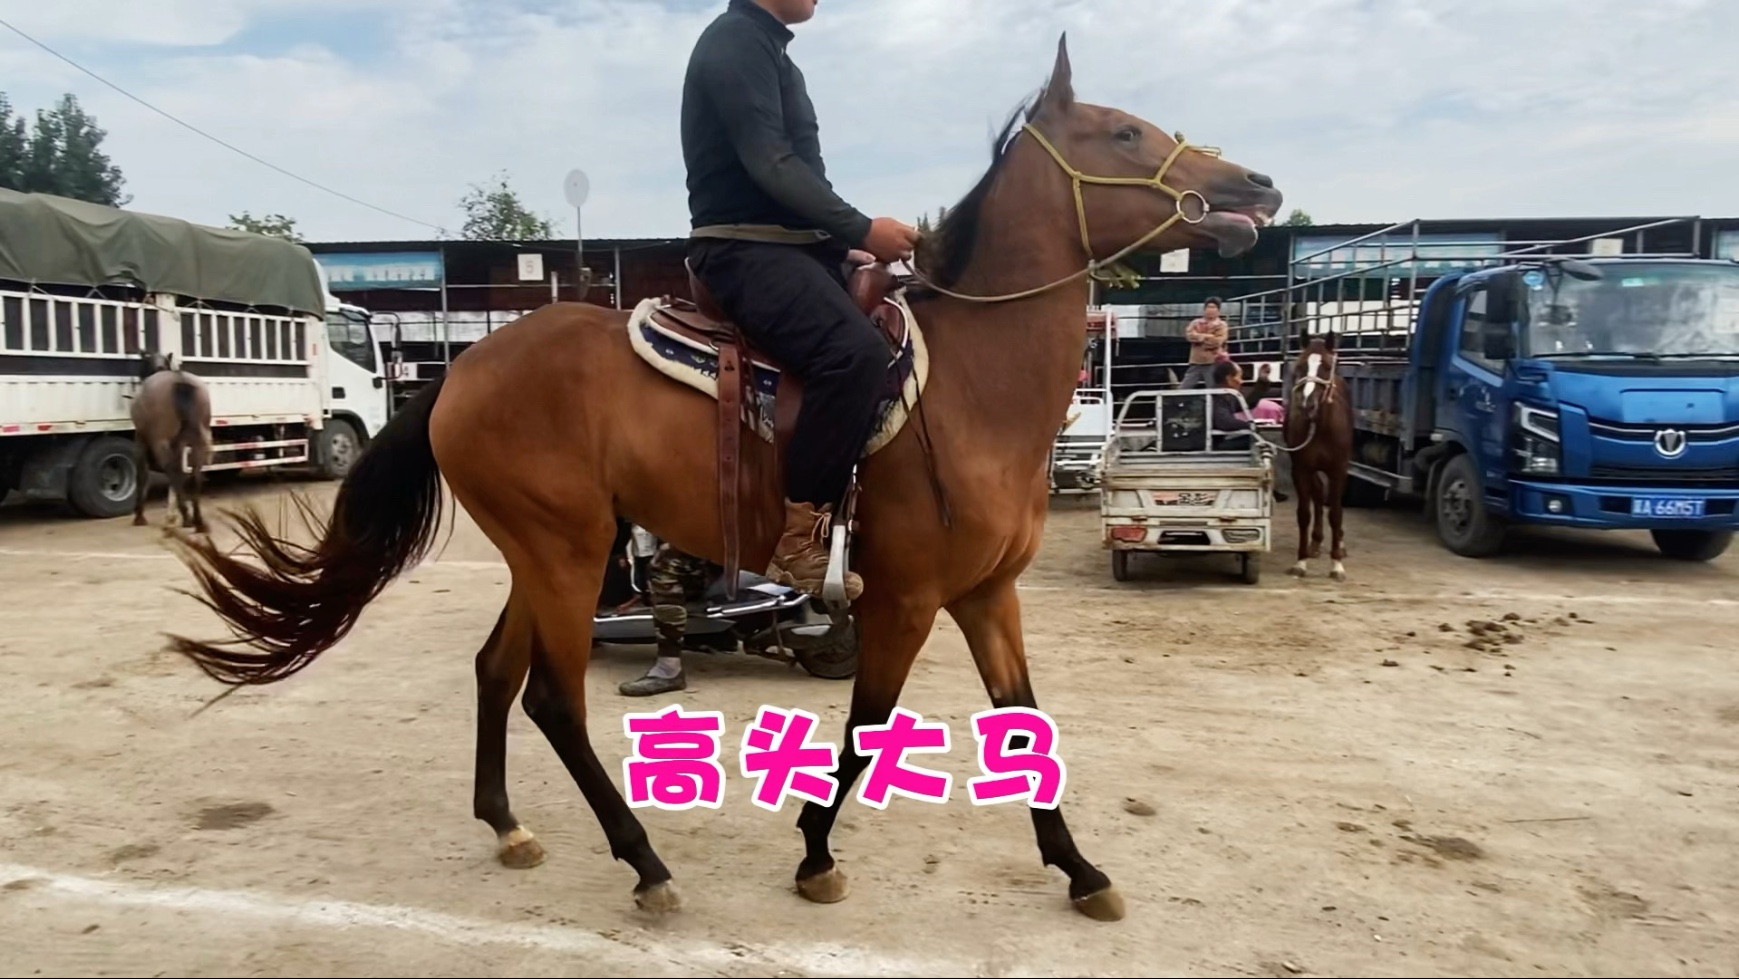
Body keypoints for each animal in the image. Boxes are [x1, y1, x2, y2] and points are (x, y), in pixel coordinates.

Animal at [130, 351, 212, 535]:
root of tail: (180, 381)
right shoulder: (179, 444)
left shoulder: (140, 439)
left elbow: (141, 474)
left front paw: (139, 516)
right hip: (198, 441)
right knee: (195, 474)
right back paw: (198, 521)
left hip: (159, 441)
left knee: (171, 470)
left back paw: (187, 517)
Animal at [160, 34, 1284, 922]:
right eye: (1125, 134)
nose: (1258, 190)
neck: (970, 383)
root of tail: (461, 371)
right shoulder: (906, 596)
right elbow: (865, 727)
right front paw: (816, 852)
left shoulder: (984, 594)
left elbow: (1023, 724)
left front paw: (1080, 869)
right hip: (567, 553)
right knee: (553, 699)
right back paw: (645, 863)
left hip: (545, 552)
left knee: (493, 671)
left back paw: (509, 826)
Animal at [1279, 329, 1354, 581]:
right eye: (1301, 365)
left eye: (1326, 366)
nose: (1307, 404)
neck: (1319, 426)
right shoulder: (1301, 469)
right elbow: (1304, 513)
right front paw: (1300, 562)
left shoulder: (1338, 470)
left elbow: (1337, 513)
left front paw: (1337, 565)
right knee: (1319, 495)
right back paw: (1315, 543)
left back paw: (1339, 543)